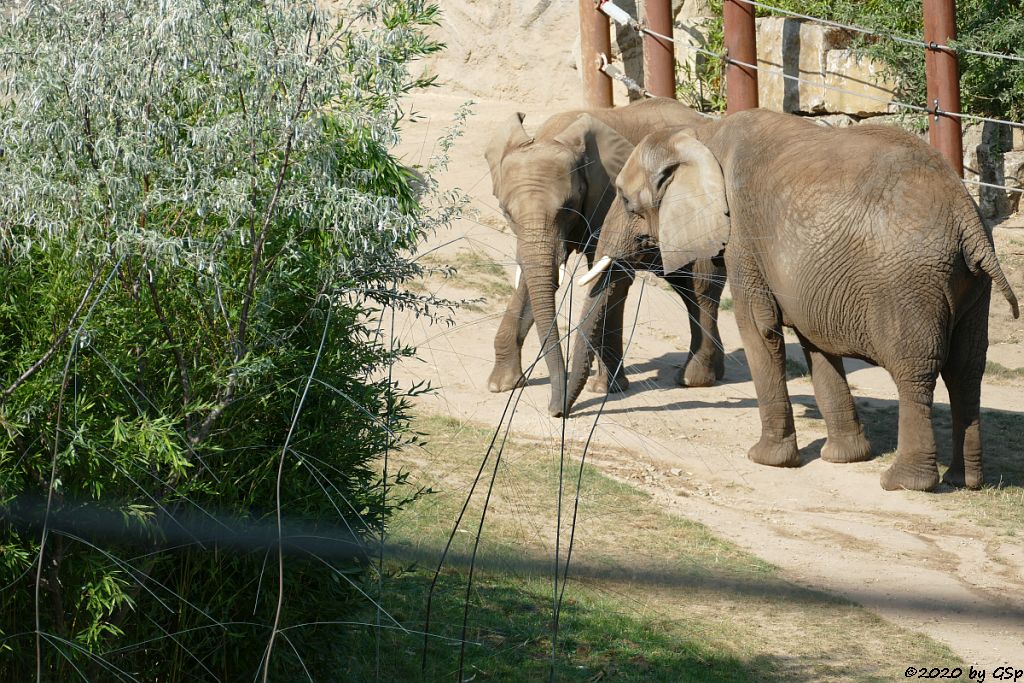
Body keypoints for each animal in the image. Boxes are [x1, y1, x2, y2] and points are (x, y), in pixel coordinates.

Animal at [481, 96, 729, 417]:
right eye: (506, 212)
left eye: (567, 207)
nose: (556, 410)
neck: (554, 135)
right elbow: (532, 277)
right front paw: (502, 385)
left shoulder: (608, 200)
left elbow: (612, 279)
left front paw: (605, 388)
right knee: (685, 287)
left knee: (701, 284)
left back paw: (693, 379)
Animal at [581, 108, 1019, 491]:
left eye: (625, 202)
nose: (580, 404)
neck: (702, 135)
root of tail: (966, 217)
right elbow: (815, 342)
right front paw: (844, 457)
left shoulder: (745, 237)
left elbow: (758, 328)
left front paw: (765, 459)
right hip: (972, 284)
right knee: (966, 370)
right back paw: (965, 481)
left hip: (910, 284)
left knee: (916, 371)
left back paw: (904, 483)